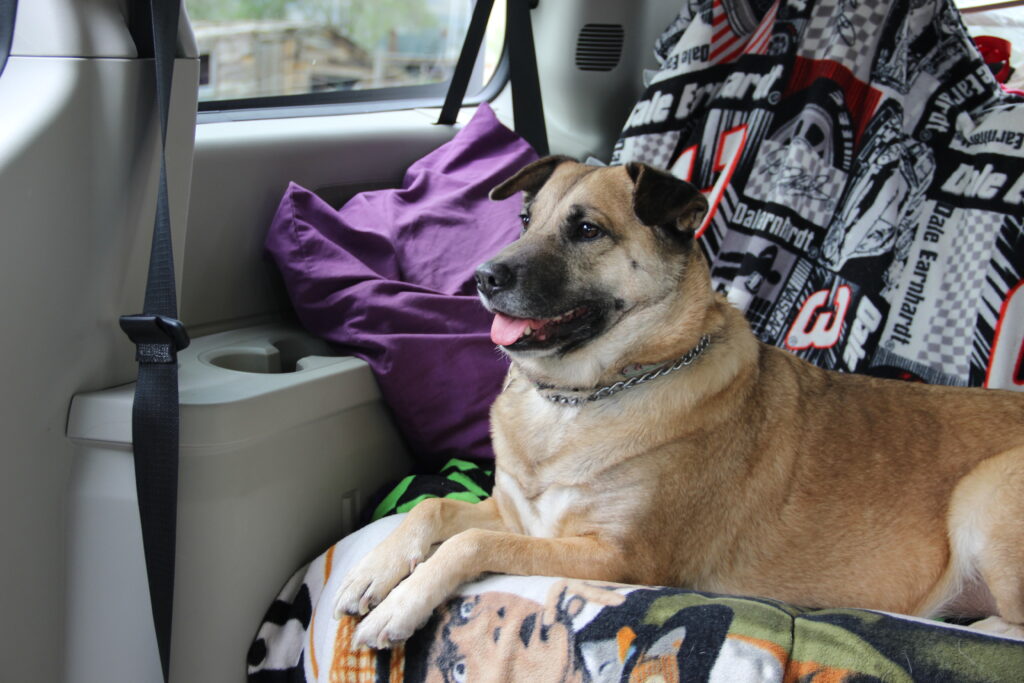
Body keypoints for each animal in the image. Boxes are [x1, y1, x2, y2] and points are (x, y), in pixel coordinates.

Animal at [333, 157, 1024, 651]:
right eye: (526, 219)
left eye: (587, 229)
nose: (483, 278)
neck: (581, 396)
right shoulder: (516, 516)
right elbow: (433, 507)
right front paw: (374, 572)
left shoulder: (621, 559)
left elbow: (469, 546)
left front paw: (399, 606)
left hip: (989, 492)